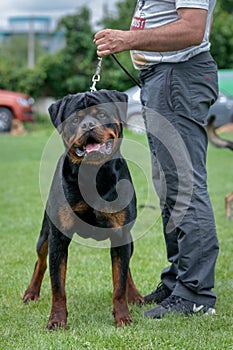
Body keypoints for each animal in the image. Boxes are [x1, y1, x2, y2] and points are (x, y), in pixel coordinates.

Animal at [23, 89, 144, 328]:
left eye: (101, 114)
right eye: (75, 119)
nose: (87, 125)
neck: (92, 174)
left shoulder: (121, 233)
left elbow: (119, 281)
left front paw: (123, 317)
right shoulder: (58, 237)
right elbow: (57, 285)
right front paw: (57, 320)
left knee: (126, 270)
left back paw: (134, 295)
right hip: (45, 235)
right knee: (40, 261)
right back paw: (31, 293)